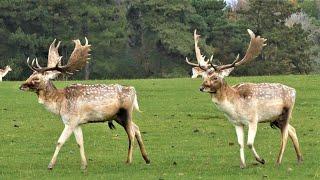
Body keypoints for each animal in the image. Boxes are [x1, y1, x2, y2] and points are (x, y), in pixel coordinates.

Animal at [18, 38, 150, 170]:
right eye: (30, 75)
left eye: (36, 78)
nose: (21, 86)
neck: (60, 103)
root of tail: (133, 90)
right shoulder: (77, 123)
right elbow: (80, 143)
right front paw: (84, 165)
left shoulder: (71, 121)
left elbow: (60, 141)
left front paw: (50, 165)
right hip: (117, 116)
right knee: (136, 128)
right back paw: (147, 159)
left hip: (126, 112)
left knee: (131, 133)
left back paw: (129, 161)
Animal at [185, 28, 302, 168]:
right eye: (203, 77)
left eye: (215, 77)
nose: (202, 87)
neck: (235, 108)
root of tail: (294, 90)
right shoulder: (237, 123)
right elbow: (240, 143)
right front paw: (242, 164)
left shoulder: (253, 119)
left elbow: (249, 143)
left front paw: (261, 160)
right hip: (275, 118)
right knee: (292, 130)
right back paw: (300, 158)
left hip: (287, 111)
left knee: (284, 136)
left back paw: (278, 161)